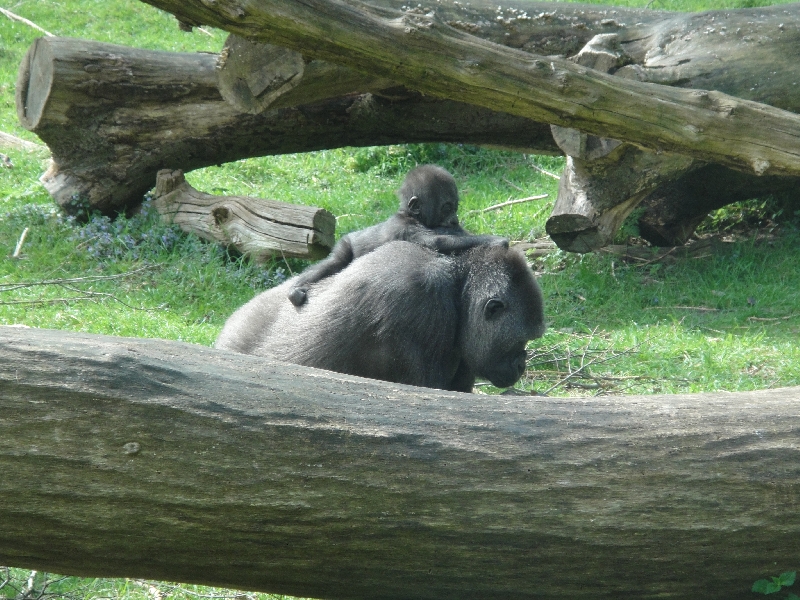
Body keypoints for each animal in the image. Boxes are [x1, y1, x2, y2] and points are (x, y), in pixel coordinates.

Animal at [286, 163, 506, 308]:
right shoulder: (405, 228)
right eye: (446, 208)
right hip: (346, 243)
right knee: (335, 261)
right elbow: (436, 241)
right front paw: (496, 241)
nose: (454, 220)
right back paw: (297, 288)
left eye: (455, 207)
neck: (408, 214)